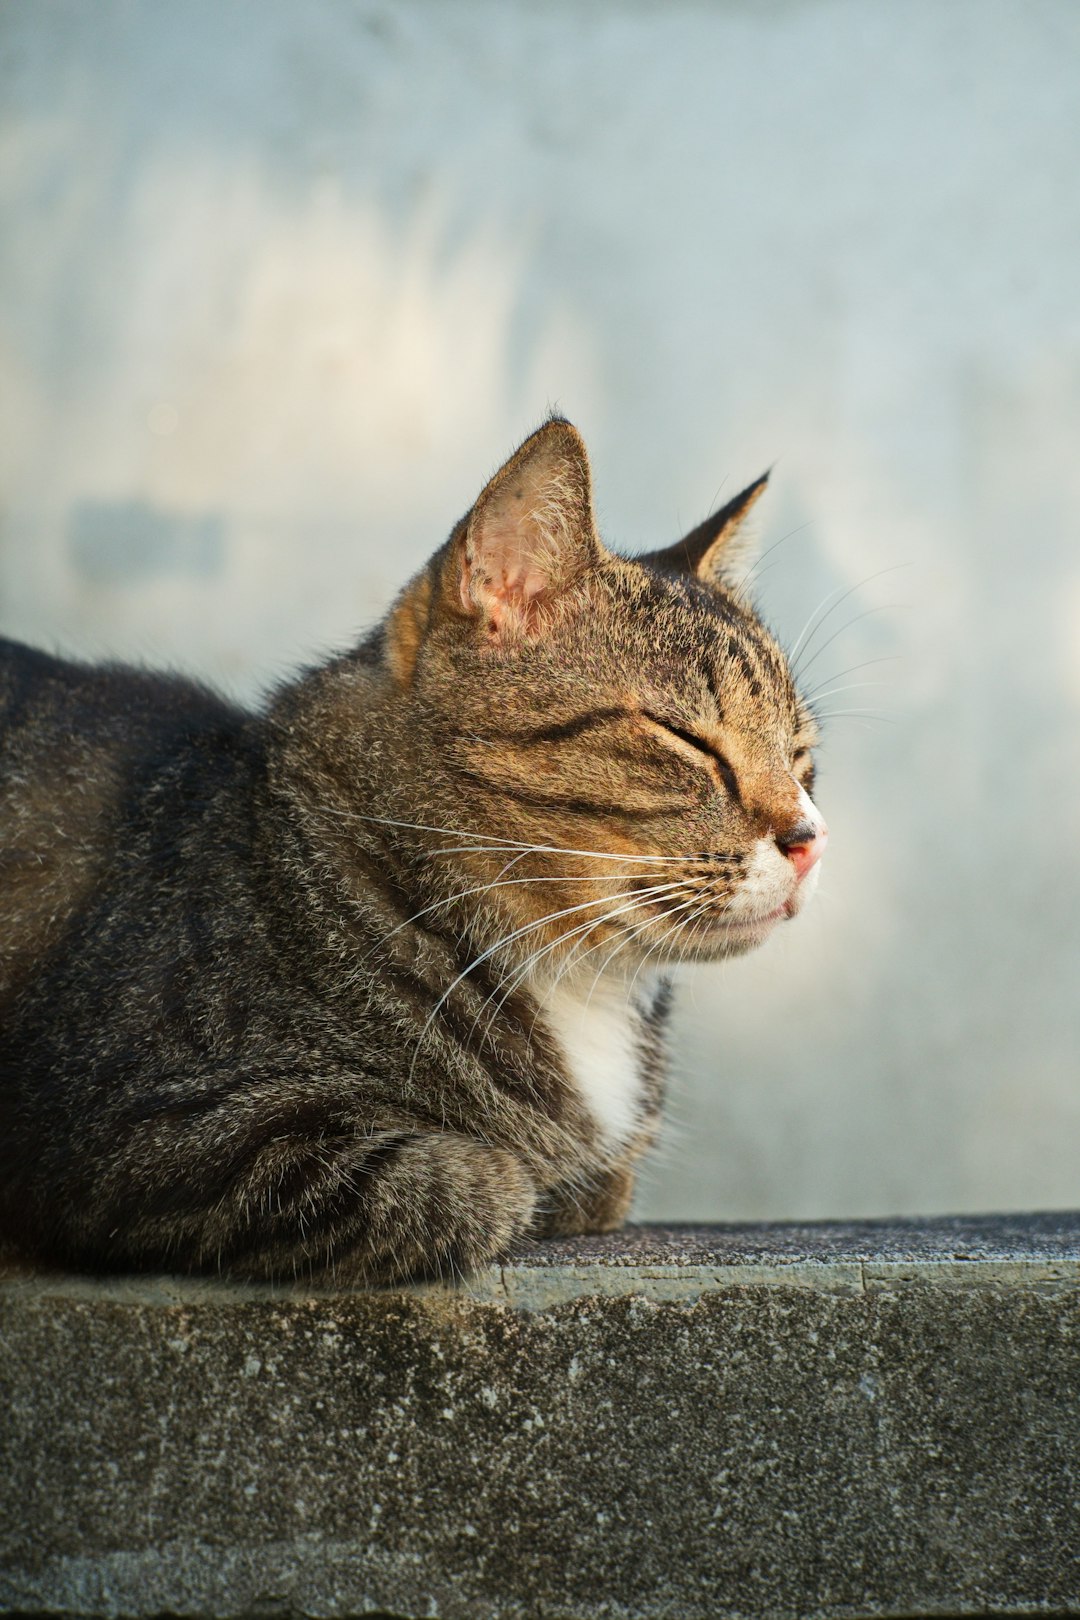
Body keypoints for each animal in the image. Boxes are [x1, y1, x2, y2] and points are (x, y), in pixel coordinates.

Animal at [0, 424, 829, 1283]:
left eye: (801, 757)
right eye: (686, 739)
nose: (812, 838)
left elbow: (593, 1183)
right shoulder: (141, 1125)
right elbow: (478, 1182)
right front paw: (522, 1174)